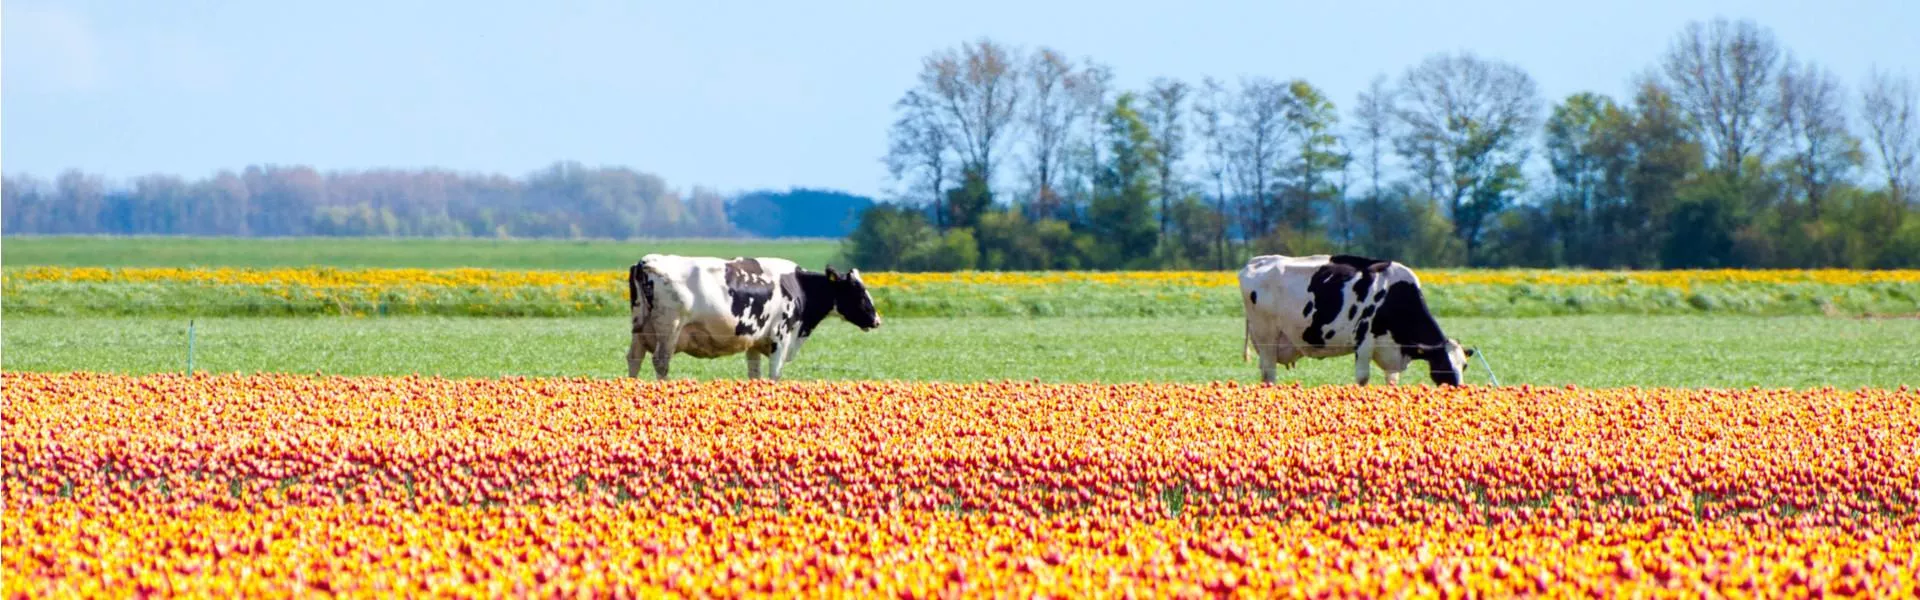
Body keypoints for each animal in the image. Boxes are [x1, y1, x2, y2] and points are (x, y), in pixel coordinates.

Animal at [625, 253, 879, 378]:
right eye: (857, 291)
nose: (877, 320)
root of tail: (645, 261)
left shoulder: (755, 342)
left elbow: (754, 375)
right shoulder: (780, 338)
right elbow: (774, 376)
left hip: (640, 329)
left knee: (634, 359)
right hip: (670, 328)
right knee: (661, 362)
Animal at [1244, 253, 1466, 386]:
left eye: (1464, 365)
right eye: (1442, 364)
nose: (1457, 389)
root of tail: (1257, 260)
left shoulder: (1391, 349)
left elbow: (1392, 381)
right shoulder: (1364, 341)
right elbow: (1362, 379)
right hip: (1267, 338)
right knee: (1269, 375)